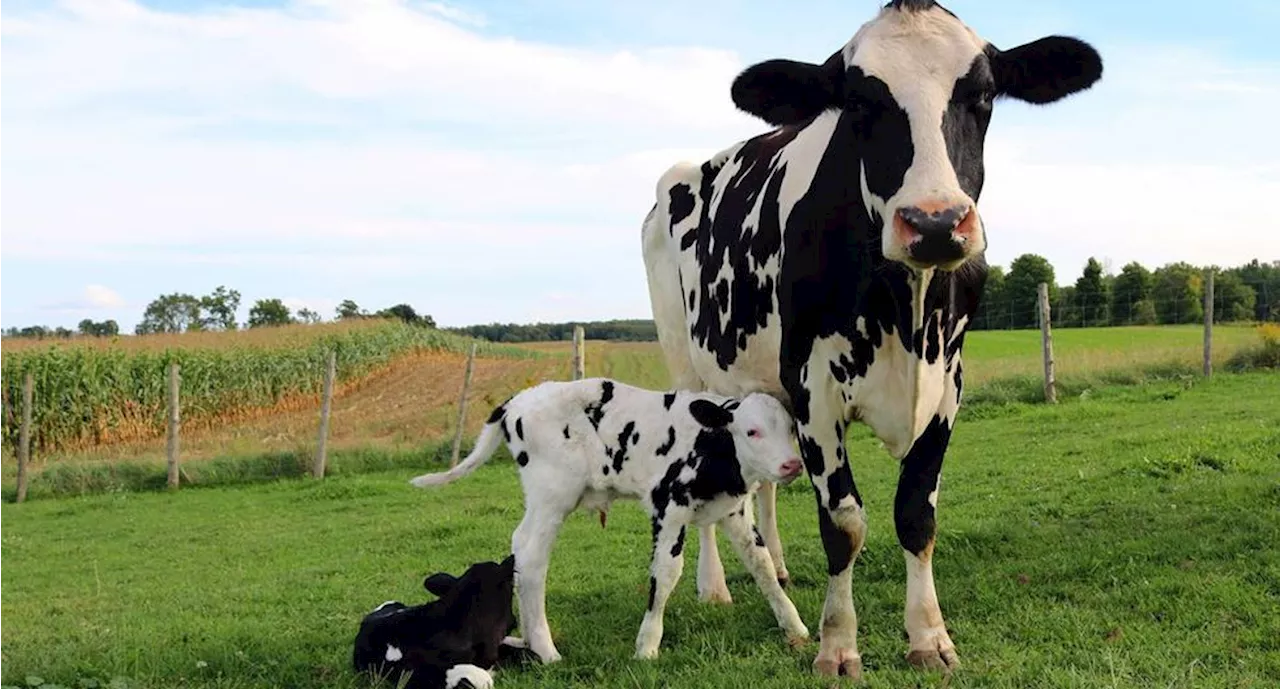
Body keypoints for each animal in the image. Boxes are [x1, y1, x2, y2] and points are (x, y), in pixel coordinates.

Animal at [409, 376, 808, 660]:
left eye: (790, 429)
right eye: (751, 431)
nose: (792, 464)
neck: (712, 445)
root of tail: (519, 399)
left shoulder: (734, 510)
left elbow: (762, 564)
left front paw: (794, 626)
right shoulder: (667, 506)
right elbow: (666, 573)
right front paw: (647, 645)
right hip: (551, 495)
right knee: (531, 555)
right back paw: (546, 650)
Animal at [640, 0, 1100, 676]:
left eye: (984, 94)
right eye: (858, 103)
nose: (934, 222)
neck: (905, 308)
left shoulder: (948, 386)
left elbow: (916, 514)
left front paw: (929, 637)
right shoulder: (814, 391)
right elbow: (844, 524)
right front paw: (837, 645)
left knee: (765, 484)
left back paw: (776, 564)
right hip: (686, 362)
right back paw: (714, 586)